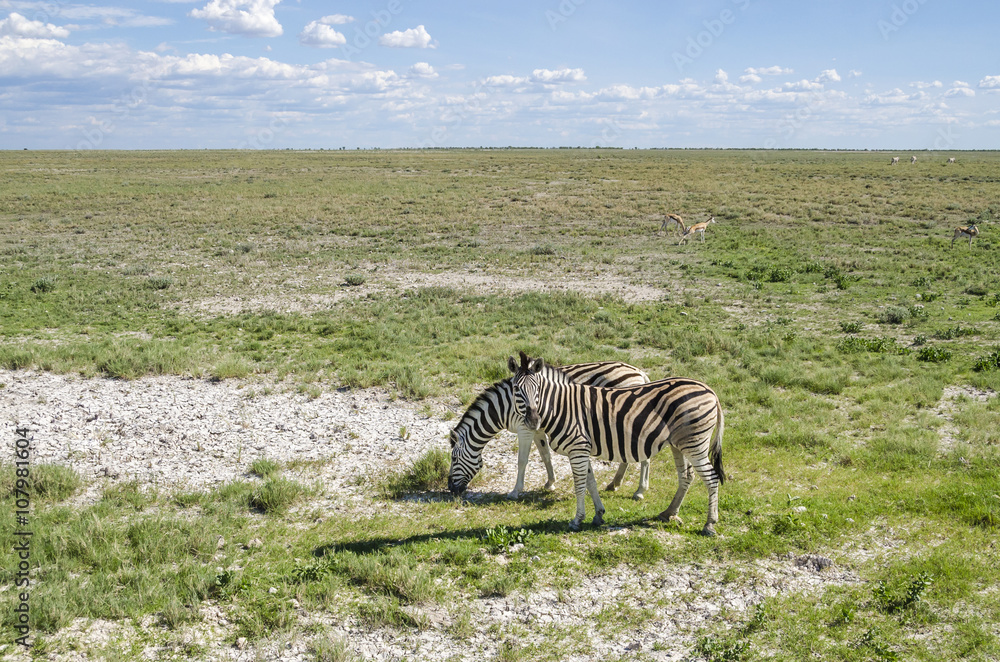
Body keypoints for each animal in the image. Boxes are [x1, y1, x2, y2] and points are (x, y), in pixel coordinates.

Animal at [448, 360, 652, 500]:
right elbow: (545, 455)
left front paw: (515, 491)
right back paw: (614, 483)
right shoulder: (536, 428)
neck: (504, 406)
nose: (450, 488)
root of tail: (640, 372)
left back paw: (639, 491)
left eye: (454, 458)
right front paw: (550, 483)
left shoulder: (525, 429)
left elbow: (522, 461)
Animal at [506, 351, 725, 535]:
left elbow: (579, 485)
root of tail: (710, 390)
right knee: (686, 476)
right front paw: (598, 514)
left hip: (695, 443)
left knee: (711, 478)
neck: (561, 407)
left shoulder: (578, 448)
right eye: (516, 389)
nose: (533, 421)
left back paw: (709, 525)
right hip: (679, 444)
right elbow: (590, 482)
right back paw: (668, 512)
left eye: (537, 389)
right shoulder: (582, 448)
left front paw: (577, 520)